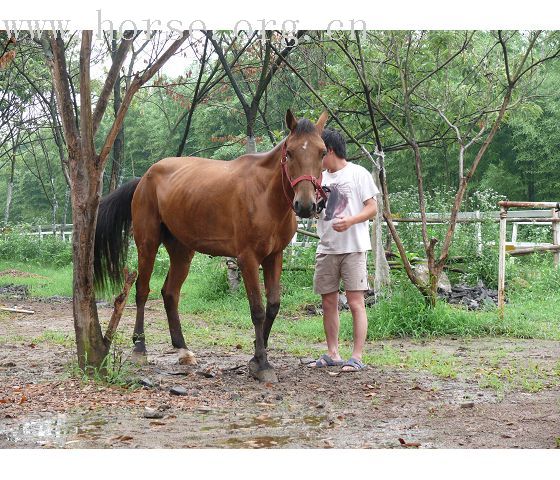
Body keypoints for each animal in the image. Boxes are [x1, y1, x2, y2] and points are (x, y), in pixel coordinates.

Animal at [92, 109, 328, 382]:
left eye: (322, 152)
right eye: (289, 152)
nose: (306, 205)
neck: (264, 196)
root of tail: (145, 178)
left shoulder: (274, 257)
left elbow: (273, 306)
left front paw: (257, 354)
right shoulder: (247, 259)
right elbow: (257, 309)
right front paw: (262, 363)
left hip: (182, 251)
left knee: (170, 293)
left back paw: (183, 349)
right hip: (147, 244)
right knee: (142, 290)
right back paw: (140, 347)